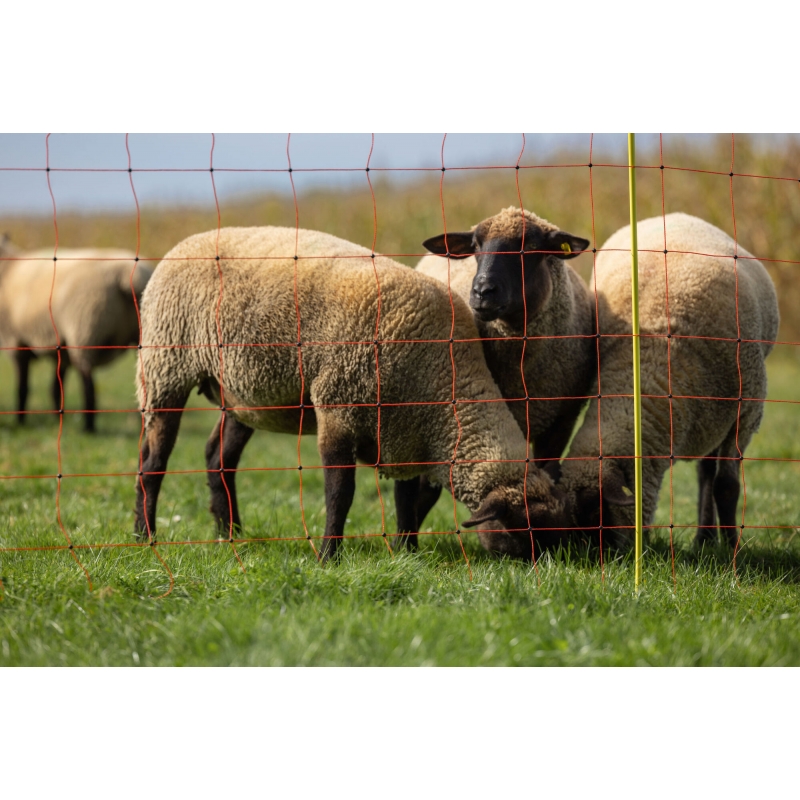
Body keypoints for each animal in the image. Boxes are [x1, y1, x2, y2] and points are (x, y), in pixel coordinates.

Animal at [0, 235, 152, 432]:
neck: (7, 269)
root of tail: (128, 276)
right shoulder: (61, 350)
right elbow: (56, 387)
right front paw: (56, 417)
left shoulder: (16, 342)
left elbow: (22, 387)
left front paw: (20, 421)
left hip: (85, 330)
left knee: (89, 385)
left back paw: (88, 427)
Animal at [134, 225, 568, 560]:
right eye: (524, 529)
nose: (551, 570)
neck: (445, 380)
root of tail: (189, 240)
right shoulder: (339, 408)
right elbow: (340, 492)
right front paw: (329, 556)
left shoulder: (407, 429)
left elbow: (405, 500)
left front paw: (407, 554)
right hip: (165, 368)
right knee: (153, 461)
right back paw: (145, 535)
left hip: (243, 394)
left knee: (219, 459)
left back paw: (231, 534)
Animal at [526, 212, 779, 551]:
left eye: (598, 512)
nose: (592, 558)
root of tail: (673, 215)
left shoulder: (746, 412)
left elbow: (726, 486)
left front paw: (733, 548)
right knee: (705, 471)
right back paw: (703, 538)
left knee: (710, 473)